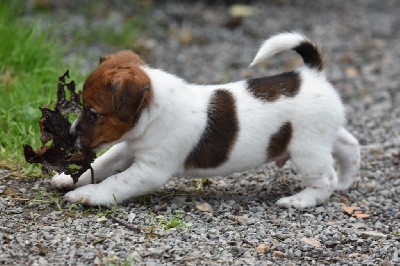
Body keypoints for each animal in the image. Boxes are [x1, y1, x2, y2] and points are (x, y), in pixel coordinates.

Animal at [51, 32, 360, 208]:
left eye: (93, 113)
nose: (70, 135)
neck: (153, 110)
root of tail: (311, 74)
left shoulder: (149, 169)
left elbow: (114, 183)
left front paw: (87, 195)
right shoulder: (129, 149)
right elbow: (104, 163)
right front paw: (67, 178)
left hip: (306, 150)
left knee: (325, 179)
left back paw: (299, 201)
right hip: (323, 136)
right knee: (349, 145)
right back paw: (346, 180)